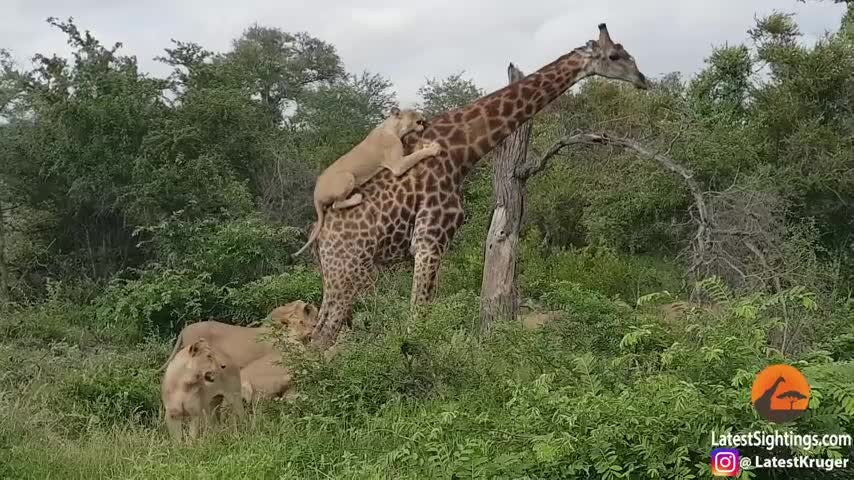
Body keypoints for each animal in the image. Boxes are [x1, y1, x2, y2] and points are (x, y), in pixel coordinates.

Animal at [308, 23, 648, 348]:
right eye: (615, 56)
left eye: (627, 52)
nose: (643, 79)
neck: (462, 152)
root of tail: (319, 236)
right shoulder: (430, 239)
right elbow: (417, 320)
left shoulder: (432, 243)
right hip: (348, 270)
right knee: (321, 337)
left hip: (334, 274)